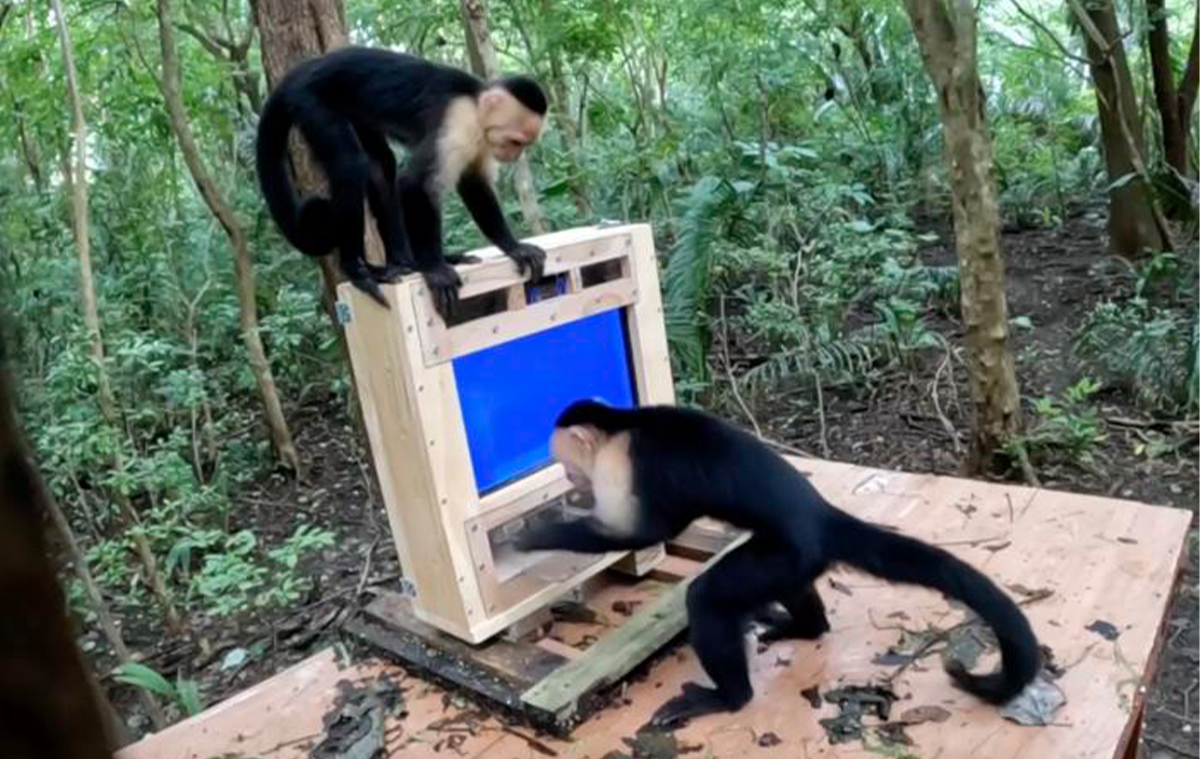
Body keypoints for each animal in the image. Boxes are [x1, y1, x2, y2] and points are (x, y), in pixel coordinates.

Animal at [255, 46, 548, 316]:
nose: (514, 155)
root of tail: (298, 73)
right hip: (310, 100)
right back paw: (357, 269)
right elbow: (415, 184)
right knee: (350, 165)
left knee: (380, 166)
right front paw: (435, 269)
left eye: (523, 144)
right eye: (516, 141)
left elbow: (473, 183)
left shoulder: (481, 141)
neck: (476, 104)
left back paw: (404, 262)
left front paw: (513, 247)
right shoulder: (458, 123)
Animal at [515, 400, 1042, 729]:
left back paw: (729, 697)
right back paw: (803, 626)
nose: (570, 481)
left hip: (789, 551)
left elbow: (645, 533)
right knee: (790, 589)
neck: (624, 425)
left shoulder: (621, 467)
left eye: (568, 466)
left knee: (708, 597)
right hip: (796, 558)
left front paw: (535, 535)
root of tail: (821, 514)